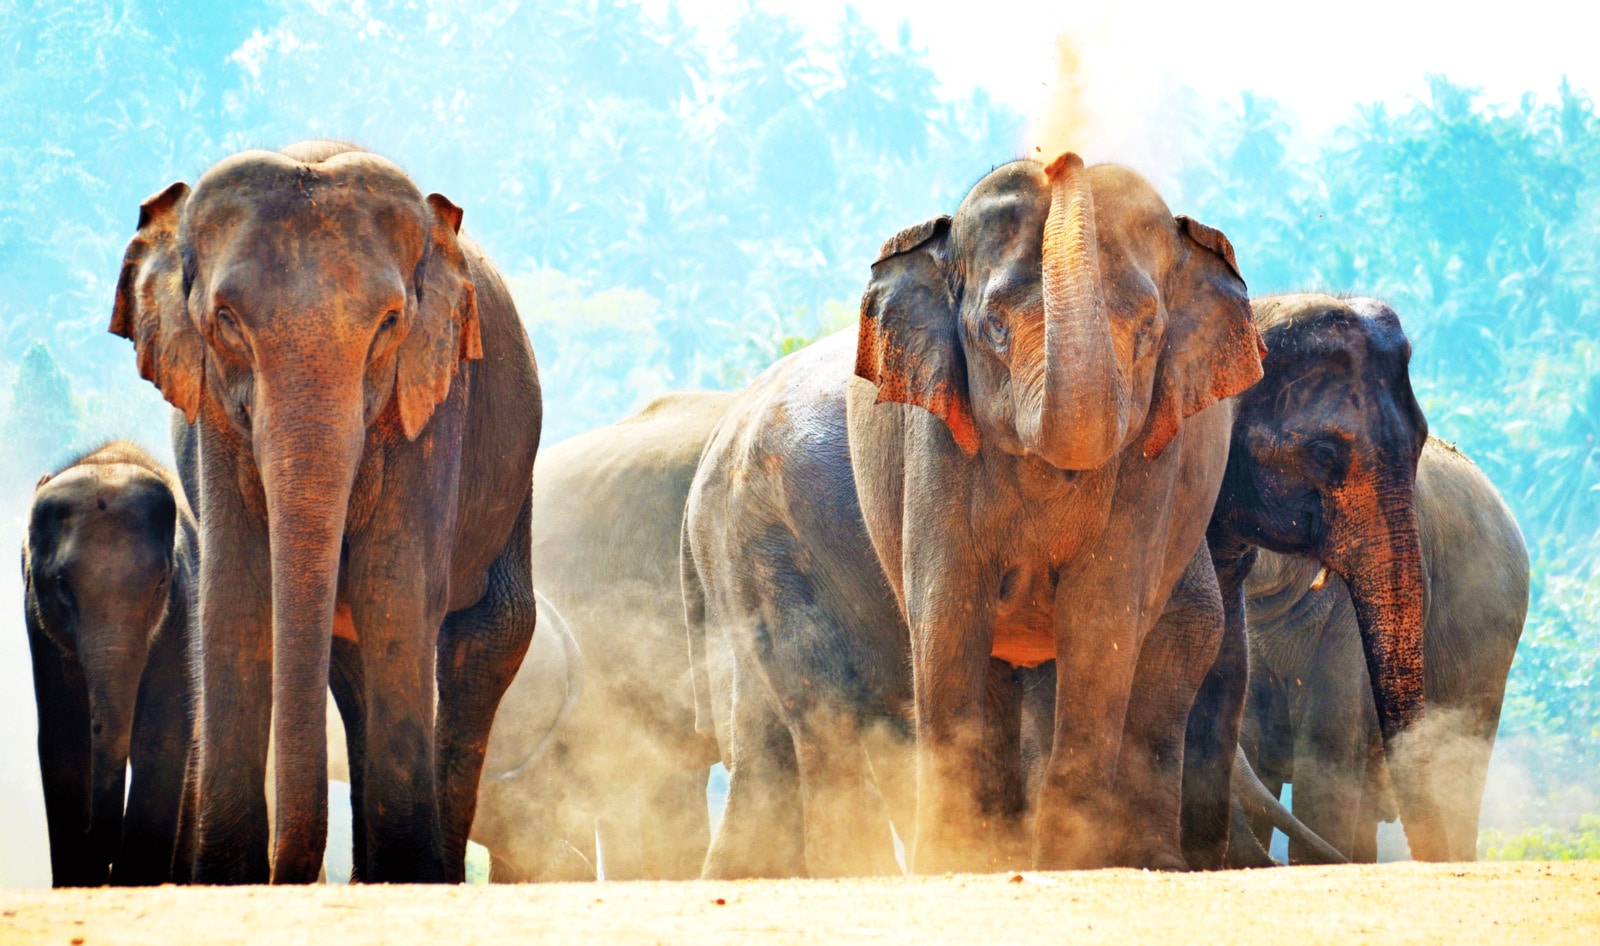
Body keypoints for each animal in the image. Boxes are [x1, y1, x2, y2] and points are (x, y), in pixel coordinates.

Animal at [24, 444, 197, 889]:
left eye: (161, 582)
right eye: (61, 584)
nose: (102, 850)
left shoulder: (183, 612)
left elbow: (162, 738)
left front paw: (137, 879)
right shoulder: (39, 628)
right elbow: (63, 741)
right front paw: (75, 882)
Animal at [111, 142, 544, 889]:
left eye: (391, 323)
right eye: (226, 320)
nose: (289, 876)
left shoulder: (432, 403)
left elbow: (394, 591)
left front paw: (411, 874)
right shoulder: (213, 417)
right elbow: (237, 595)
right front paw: (226, 878)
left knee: (488, 634)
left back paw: (429, 874)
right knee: (352, 658)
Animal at [681, 153, 1267, 870]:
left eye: (1149, 332)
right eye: (994, 328)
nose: (1059, 157)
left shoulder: (1157, 456)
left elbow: (1102, 619)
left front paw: (1066, 863)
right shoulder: (934, 438)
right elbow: (948, 613)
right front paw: (951, 861)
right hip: (763, 539)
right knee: (815, 696)